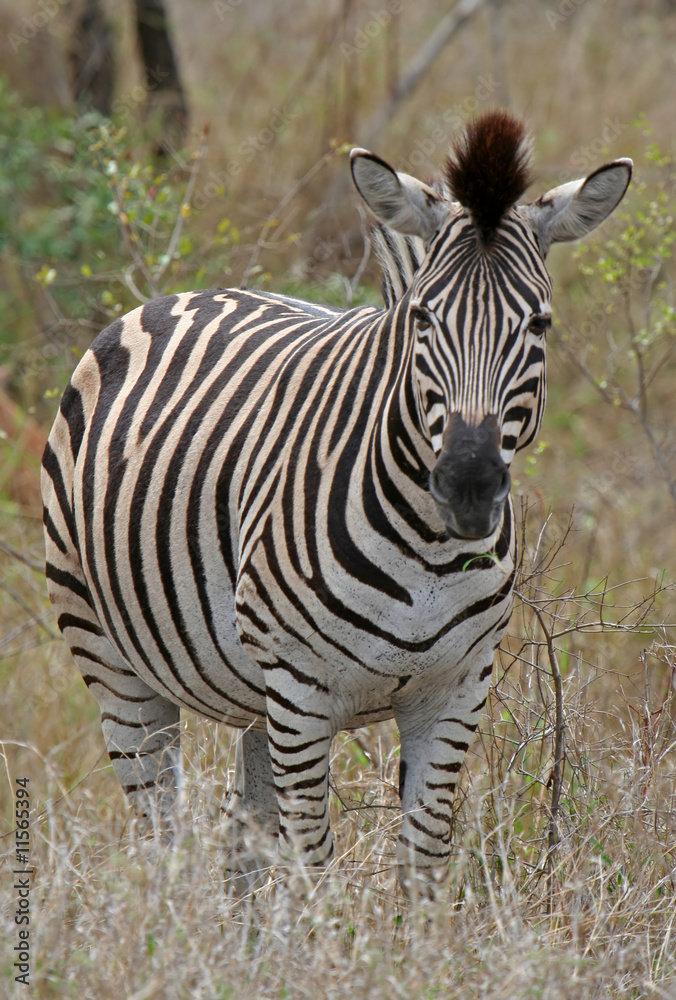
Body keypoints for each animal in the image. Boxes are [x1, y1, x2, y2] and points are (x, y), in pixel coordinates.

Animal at [41, 111, 631, 885]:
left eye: (539, 325)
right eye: (423, 320)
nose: (468, 485)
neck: (430, 548)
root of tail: (183, 295)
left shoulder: (456, 691)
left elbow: (422, 864)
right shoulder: (302, 685)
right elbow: (314, 867)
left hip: (254, 691)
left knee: (244, 839)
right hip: (111, 655)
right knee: (162, 834)